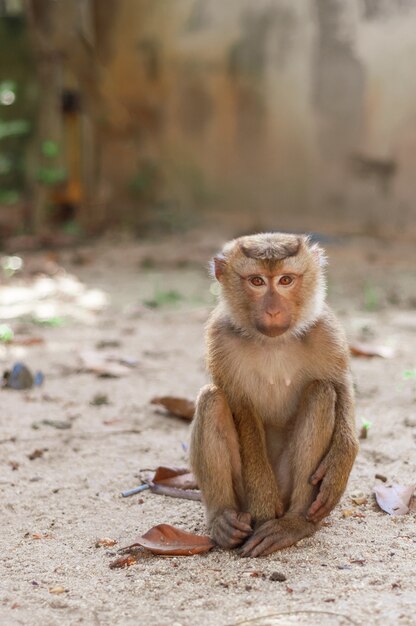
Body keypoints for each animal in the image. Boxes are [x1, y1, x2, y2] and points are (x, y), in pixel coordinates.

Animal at [191, 232, 358, 552]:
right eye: (257, 281)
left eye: (285, 280)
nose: (273, 310)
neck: (273, 341)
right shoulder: (220, 337)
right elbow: (240, 407)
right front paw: (263, 501)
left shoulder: (325, 330)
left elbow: (340, 385)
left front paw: (340, 462)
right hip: (241, 497)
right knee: (211, 399)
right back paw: (223, 521)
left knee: (321, 393)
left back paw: (294, 523)